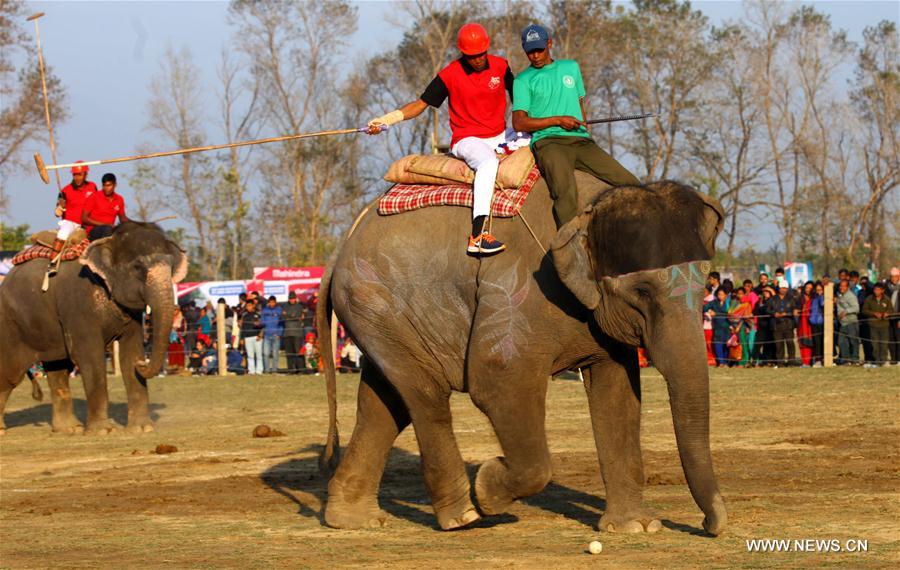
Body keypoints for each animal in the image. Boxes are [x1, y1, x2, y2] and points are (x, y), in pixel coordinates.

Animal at [0, 221, 187, 435]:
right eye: (138, 266)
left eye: (171, 266)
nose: (143, 362)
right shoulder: (78, 303)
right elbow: (90, 357)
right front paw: (102, 432)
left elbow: (129, 354)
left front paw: (142, 429)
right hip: (11, 326)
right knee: (10, 374)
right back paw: (2, 430)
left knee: (58, 370)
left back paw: (70, 429)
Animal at [315, 171, 728, 536]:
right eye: (641, 291)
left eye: (704, 282)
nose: (711, 525)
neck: (588, 206)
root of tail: (339, 249)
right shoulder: (519, 289)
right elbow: (498, 381)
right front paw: (487, 489)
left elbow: (618, 395)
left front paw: (636, 527)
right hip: (376, 301)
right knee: (426, 396)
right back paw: (464, 516)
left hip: (383, 319)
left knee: (385, 403)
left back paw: (352, 519)